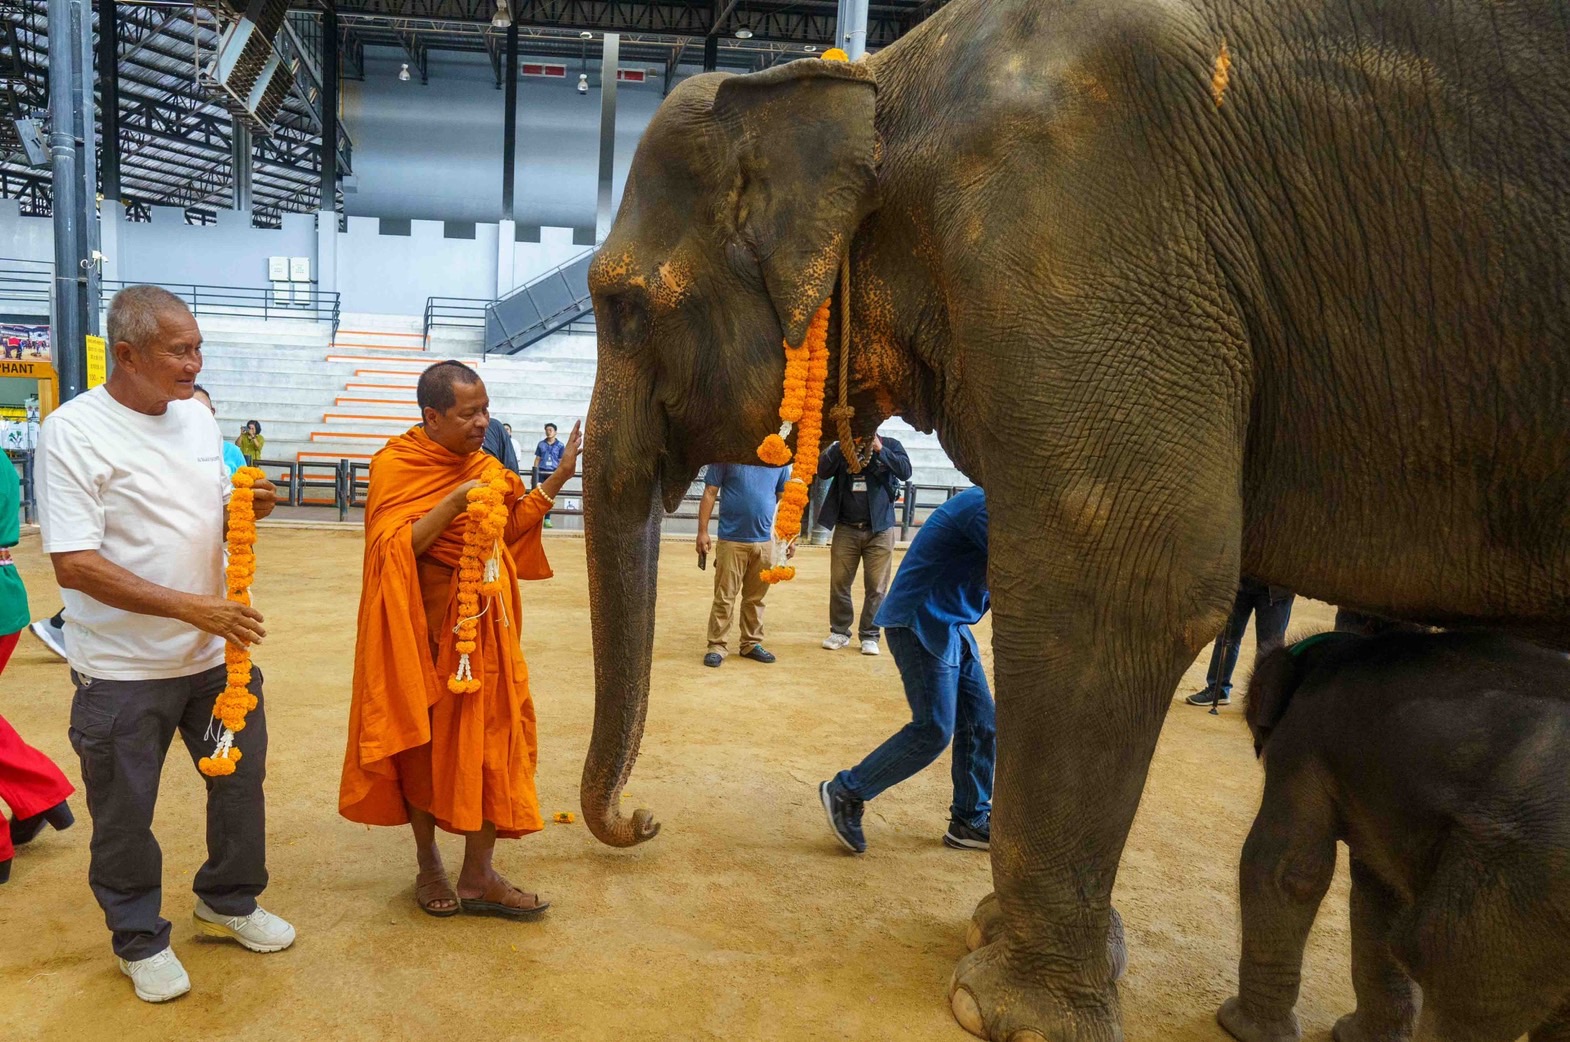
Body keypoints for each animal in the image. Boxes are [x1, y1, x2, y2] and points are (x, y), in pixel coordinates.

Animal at [1221, 631, 1570, 1042]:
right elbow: (1380, 892)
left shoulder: (1301, 742)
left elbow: (1287, 870)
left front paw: (1237, 1028)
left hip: (1515, 882)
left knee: (1453, 971)